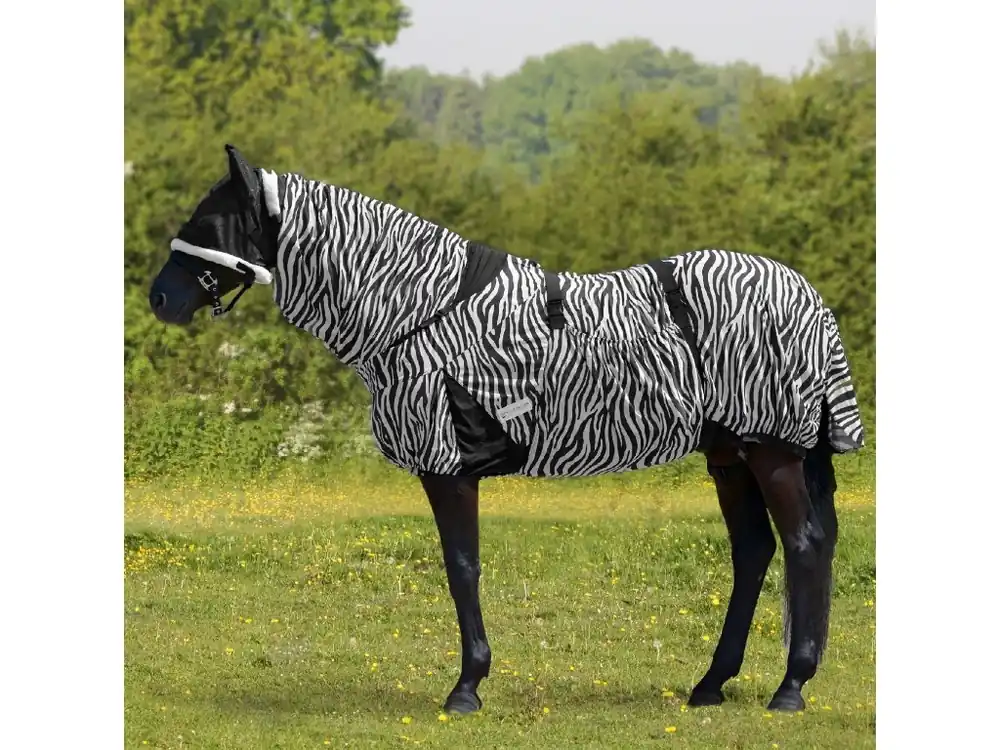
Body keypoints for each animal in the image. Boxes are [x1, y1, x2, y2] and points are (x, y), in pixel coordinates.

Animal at [148, 144, 865, 715]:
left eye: (207, 223)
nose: (159, 298)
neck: (417, 310)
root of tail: (806, 295)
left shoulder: (448, 467)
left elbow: (461, 566)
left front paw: (466, 687)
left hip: (772, 451)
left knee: (803, 544)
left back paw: (790, 688)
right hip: (730, 454)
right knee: (754, 551)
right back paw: (711, 684)